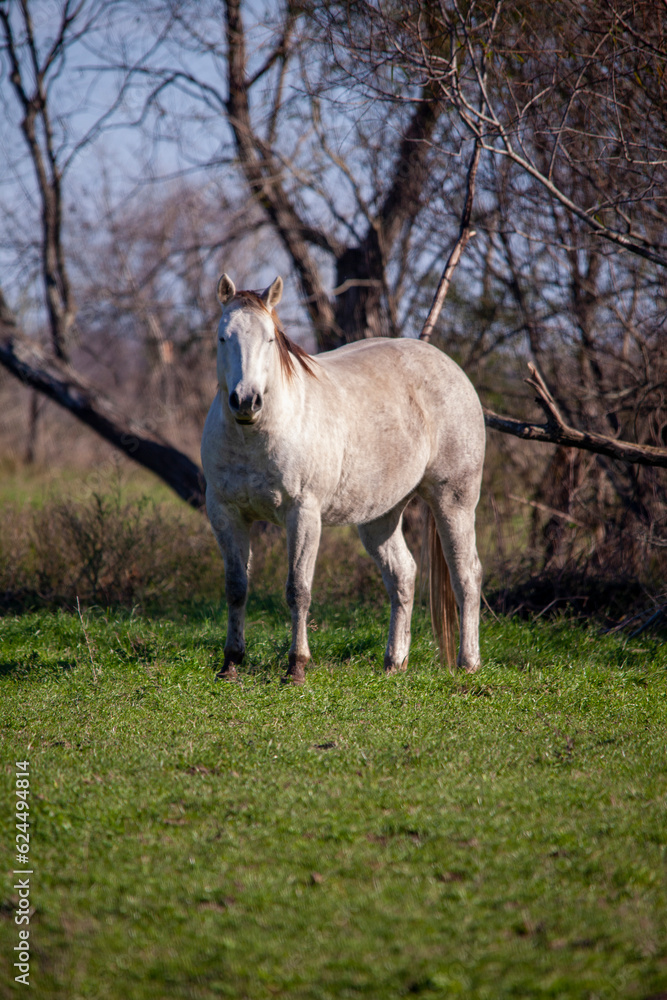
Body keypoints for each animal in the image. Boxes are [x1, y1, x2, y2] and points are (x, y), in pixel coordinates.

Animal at [201, 273, 486, 684]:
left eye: (269, 340)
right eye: (223, 337)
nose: (246, 401)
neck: (256, 435)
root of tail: (449, 367)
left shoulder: (303, 515)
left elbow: (298, 590)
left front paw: (296, 667)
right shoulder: (226, 513)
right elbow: (236, 588)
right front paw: (230, 664)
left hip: (454, 501)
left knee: (466, 576)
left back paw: (468, 662)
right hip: (381, 516)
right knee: (403, 575)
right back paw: (394, 662)